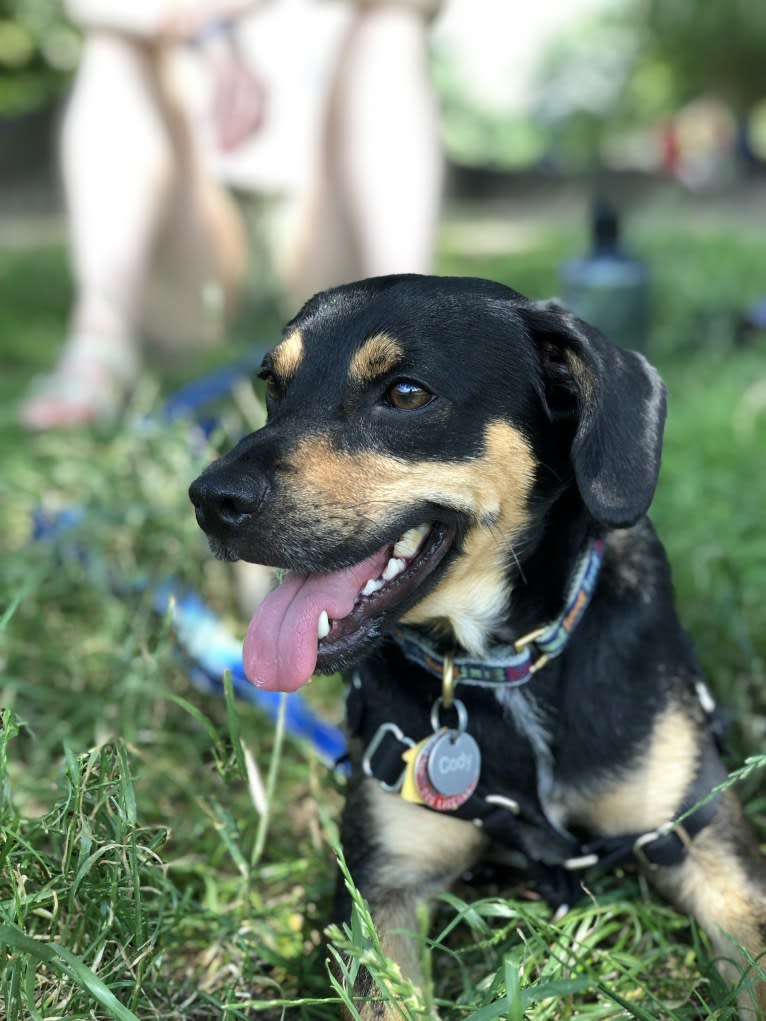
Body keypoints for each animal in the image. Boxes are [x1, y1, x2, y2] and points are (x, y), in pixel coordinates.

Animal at [190, 275, 766, 1016]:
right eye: (273, 385)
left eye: (407, 393)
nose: (209, 500)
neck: (502, 663)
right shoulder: (384, 886)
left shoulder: (703, 838)